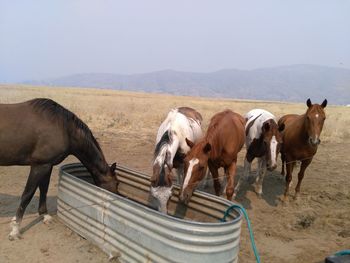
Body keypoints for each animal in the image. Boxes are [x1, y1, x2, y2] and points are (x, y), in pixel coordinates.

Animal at [0, 98, 119, 240]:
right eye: (117, 183)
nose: (116, 200)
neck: (64, 128)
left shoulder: (47, 165)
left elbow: (43, 189)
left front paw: (44, 215)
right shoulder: (39, 165)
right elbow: (27, 194)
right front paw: (15, 229)